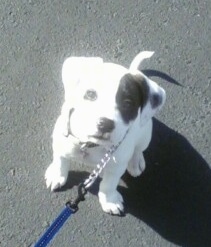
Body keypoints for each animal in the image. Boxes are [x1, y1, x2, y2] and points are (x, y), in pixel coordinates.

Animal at [45, 51, 166, 215]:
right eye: (90, 94)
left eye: (127, 103)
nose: (105, 124)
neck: (90, 145)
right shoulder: (60, 141)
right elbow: (60, 161)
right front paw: (56, 175)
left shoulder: (117, 165)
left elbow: (109, 183)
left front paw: (109, 200)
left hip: (145, 134)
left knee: (138, 149)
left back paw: (136, 162)